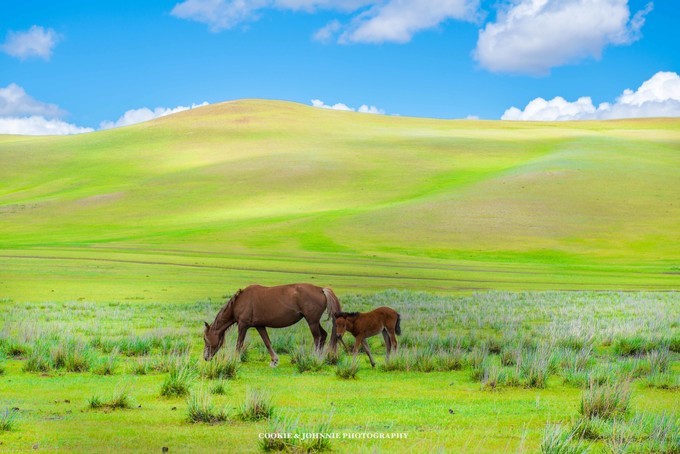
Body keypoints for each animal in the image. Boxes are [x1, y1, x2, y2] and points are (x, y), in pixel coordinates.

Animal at [202, 284, 340, 366]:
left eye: (205, 339)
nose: (205, 357)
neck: (239, 302)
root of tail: (321, 289)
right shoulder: (260, 326)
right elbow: (267, 342)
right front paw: (274, 360)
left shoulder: (243, 325)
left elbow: (239, 344)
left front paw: (235, 359)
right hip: (314, 321)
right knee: (323, 335)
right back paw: (320, 357)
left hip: (312, 321)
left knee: (317, 338)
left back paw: (314, 357)